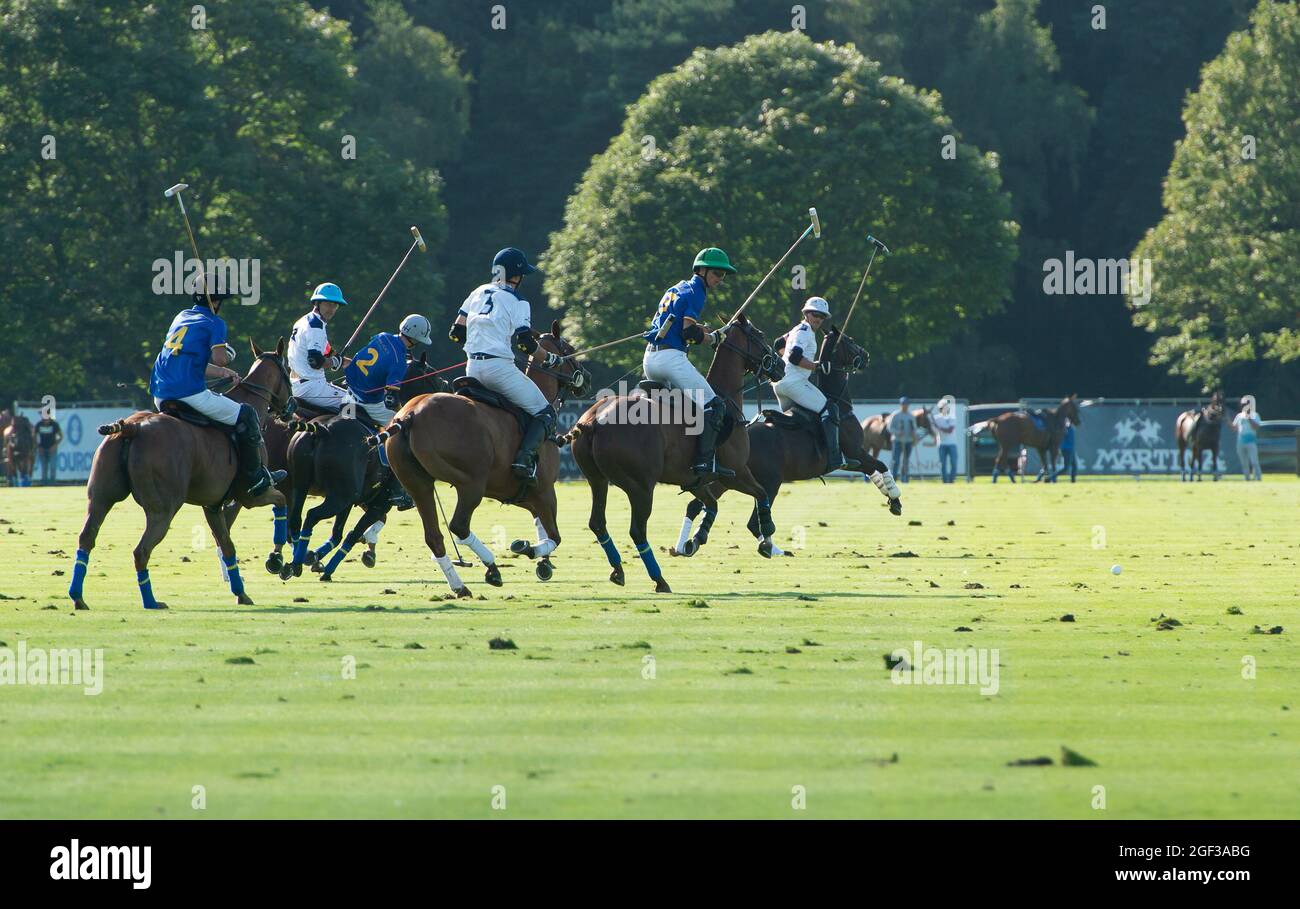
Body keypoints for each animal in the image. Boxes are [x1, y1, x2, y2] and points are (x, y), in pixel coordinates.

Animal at [67, 340, 292, 611]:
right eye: (288, 371)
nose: (292, 407)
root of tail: (131, 428)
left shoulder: (212, 505)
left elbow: (227, 545)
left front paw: (241, 593)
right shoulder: (250, 496)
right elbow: (281, 502)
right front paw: (276, 558)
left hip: (101, 498)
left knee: (86, 538)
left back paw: (78, 597)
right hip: (163, 508)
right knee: (141, 550)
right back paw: (151, 601)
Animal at [371, 319, 585, 598]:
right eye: (569, 349)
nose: (586, 378)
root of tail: (409, 416)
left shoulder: (519, 493)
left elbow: (542, 525)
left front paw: (544, 564)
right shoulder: (545, 491)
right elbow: (554, 536)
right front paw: (528, 549)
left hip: (418, 484)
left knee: (434, 535)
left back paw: (459, 585)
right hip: (471, 483)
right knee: (459, 526)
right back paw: (492, 567)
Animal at [566, 313, 780, 592]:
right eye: (760, 335)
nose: (781, 366)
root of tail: (593, 420)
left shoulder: (694, 479)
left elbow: (710, 505)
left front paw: (695, 540)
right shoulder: (735, 473)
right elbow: (761, 493)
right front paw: (767, 537)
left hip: (597, 480)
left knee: (597, 522)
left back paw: (618, 570)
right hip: (640, 486)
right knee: (637, 530)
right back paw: (659, 579)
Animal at [676, 325, 899, 553]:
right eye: (850, 340)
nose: (866, 356)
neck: (839, 403)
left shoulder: (853, 460)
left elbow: (872, 470)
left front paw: (890, 496)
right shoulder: (855, 452)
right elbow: (880, 465)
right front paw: (896, 500)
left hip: (729, 478)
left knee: (696, 505)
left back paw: (689, 543)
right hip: (768, 481)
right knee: (752, 521)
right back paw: (771, 549)